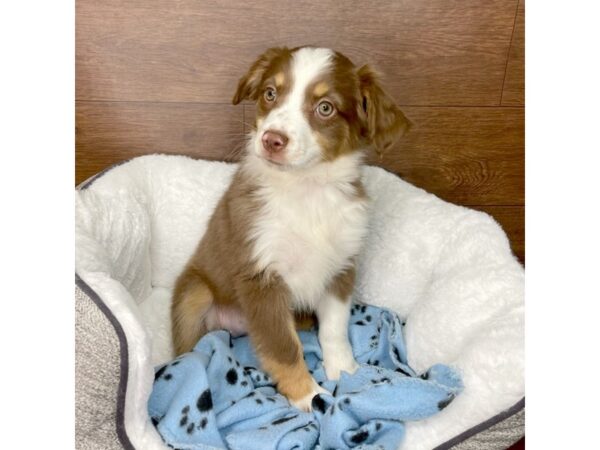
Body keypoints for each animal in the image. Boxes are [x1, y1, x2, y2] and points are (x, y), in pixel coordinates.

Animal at [171, 45, 410, 412]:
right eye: (270, 93)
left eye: (325, 108)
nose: (271, 140)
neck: (306, 190)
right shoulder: (261, 278)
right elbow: (283, 347)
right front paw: (308, 395)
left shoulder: (341, 266)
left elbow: (334, 328)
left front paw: (345, 371)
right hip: (195, 293)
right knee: (189, 348)